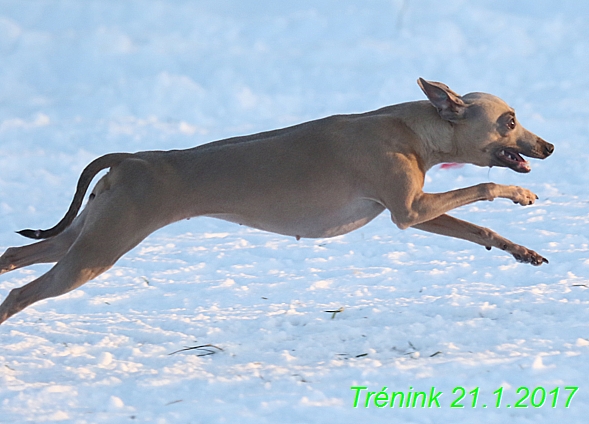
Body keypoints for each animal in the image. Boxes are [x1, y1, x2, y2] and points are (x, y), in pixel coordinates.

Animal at [0, 79, 552, 324]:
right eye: (509, 120)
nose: (547, 147)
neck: (410, 127)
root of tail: (132, 159)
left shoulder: (416, 213)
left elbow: (480, 230)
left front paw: (522, 251)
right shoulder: (410, 210)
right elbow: (484, 187)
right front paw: (519, 192)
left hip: (85, 236)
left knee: (12, 255)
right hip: (96, 252)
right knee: (19, 294)